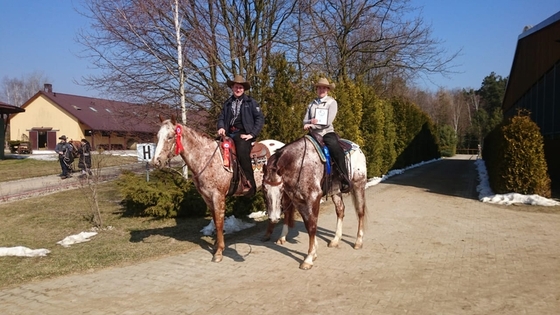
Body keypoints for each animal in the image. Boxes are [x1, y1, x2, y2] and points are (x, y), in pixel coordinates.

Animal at [152, 116, 284, 264]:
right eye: (158, 136)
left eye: (170, 137)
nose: (156, 162)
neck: (206, 158)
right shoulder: (207, 197)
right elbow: (215, 220)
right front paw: (216, 245)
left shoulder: (218, 196)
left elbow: (220, 223)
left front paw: (219, 252)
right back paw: (267, 235)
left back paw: (281, 238)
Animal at [262, 137, 368, 270]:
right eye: (264, 189)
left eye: (281, 190)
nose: (273, 218)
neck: (298, 165)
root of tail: (357, 147)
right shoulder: (298, 201)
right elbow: (308, 224)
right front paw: (314, 252)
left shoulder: (314, 198)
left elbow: (312, 226)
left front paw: (308, 258)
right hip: (335, 191)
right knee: (340, 210)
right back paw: (335, 240)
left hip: (358, 185)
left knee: (360, 212)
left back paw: (358, 241)